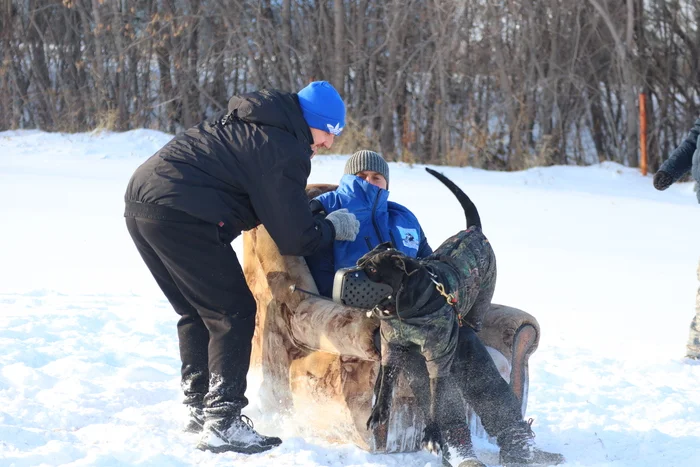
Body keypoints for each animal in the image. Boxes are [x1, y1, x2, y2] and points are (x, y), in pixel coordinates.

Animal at [358, 168, 494, 458]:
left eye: (373, 270)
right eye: (358, 261)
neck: (405, 310)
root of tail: (473, 230)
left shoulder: (438, 357)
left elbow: (436, 398)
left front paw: (432, 434)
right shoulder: (391, 345)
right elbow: (386, 383)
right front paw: (378, 412)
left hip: (479, 305)